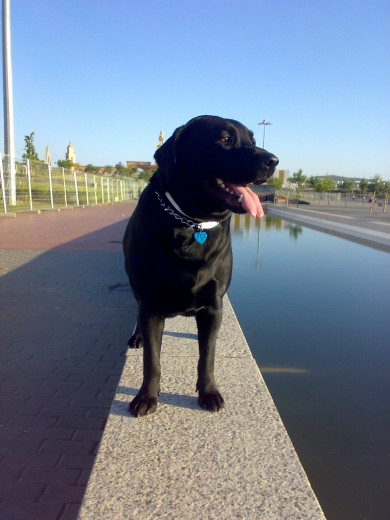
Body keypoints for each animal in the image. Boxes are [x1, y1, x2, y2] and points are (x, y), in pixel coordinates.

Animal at [123, 116, 278, 416]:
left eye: (253, 140)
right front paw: (146, 397)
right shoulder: (151, 304)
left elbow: (207, 356)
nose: (274, 160)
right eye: (225, 139)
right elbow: (152, 359)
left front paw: (208, 392)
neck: (192, 223)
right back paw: (136, 337)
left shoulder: (213, 305)